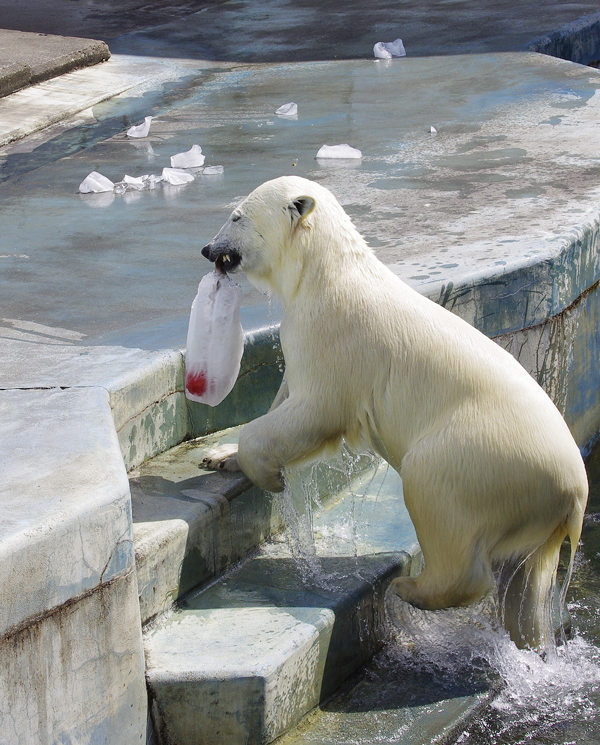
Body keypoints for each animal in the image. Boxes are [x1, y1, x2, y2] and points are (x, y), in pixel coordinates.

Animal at [200, 176, 584, 652]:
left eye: (236, 216)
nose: (208, 249)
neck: (323, 274)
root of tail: (576, 492)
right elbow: (286, 395)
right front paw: (221, 456)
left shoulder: (337, 337)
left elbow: (316, 408)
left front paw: (270, 476)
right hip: (537, 515)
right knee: (526, 584)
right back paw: (529, 637)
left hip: (487, 457)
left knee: (435, 490)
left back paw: (411, 588)